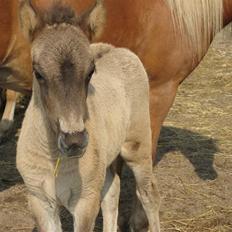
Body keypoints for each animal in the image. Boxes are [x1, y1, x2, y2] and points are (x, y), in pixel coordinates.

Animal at [16, 3, 160, 232]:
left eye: (91, 71)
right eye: (38, 73)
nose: (74, 140)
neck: (56, 160)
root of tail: (116, 49)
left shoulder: (85, 201)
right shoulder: (40, 201)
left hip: (137, 147)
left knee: (148, 192)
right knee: (112, 193)